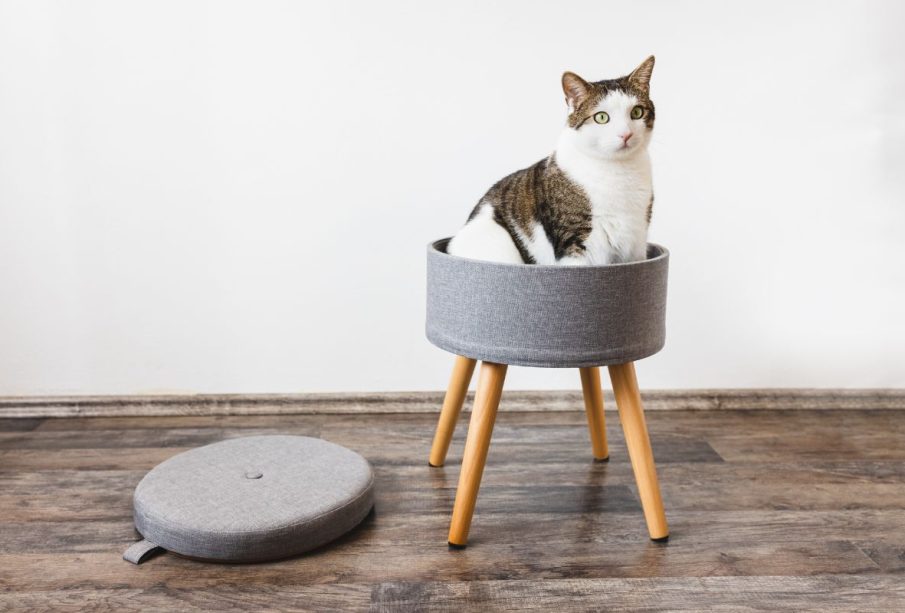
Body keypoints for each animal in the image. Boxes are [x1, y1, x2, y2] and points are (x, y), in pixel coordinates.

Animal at [446, 57, 652, 266]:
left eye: (637, 112)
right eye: (601, 117)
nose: (626, 134)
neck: (618, 170)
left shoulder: (638, 239)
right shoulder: (574, 241)